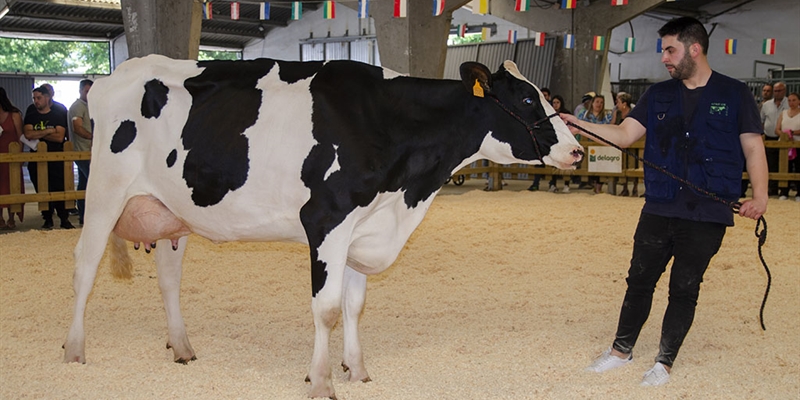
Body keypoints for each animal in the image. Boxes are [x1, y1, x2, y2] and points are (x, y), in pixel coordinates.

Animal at [64, 54, 580, 398]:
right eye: (527, 97)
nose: (577, 150)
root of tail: (116, 75)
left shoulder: (361, 227)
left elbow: (354, 306)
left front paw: (358, 369)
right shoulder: (327, 220)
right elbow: (327, 308)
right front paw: (321, 381)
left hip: (172, 211)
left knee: (169, 280)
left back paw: (182, 347)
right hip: (105, 191)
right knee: (84, 269)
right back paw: (74, 352)